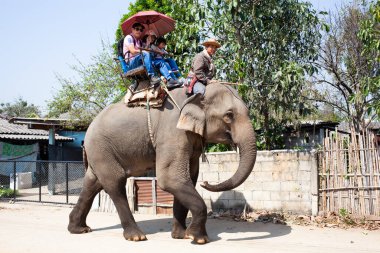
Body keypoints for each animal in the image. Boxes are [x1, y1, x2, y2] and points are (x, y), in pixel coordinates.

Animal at [68, 81, 258, 243]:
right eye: (229, 116)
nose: (206, 182)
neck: (194, 95)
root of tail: (87, 131)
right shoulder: (173, 132)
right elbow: (170, 178)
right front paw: (198, 239)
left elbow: (189, 177)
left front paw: (181, 236)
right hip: (101, 149)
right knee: (115, 183)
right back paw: (136, 237)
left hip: (99, 153)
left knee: (92, 183)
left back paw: (79, 229)